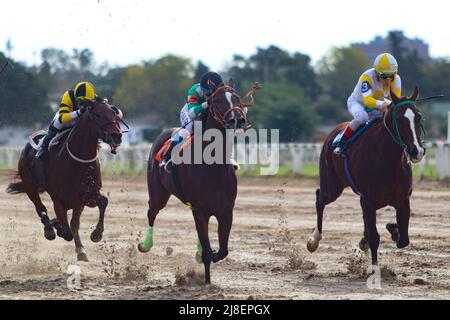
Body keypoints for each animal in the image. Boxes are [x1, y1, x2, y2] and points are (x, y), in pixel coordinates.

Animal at [7, 100, 123, 262]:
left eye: (114, 114)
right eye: (98, 114)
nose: (117, 136)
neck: (78, 160)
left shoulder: (86, 196)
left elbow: (102, 202)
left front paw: (96, 234)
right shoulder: (59, 199)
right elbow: (66, 230)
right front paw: (57, 227)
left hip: (75, 201)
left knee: (73, 223)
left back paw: (80, 250)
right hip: (29, 184)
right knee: (40, 208)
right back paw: (50, 229)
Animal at [138, 81, 260, 284]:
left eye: (236, 98)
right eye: (218, 100)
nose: (237, 119)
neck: (212, 167)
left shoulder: (226, 211)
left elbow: (222, 250)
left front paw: (208, 255)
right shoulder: (199, 210)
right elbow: (208, 254)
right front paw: (207, 281)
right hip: (158, 194)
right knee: (151, 212)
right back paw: (146, 244)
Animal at [306, 87, 426, 268]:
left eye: (418, 116)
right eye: (399, 119)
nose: (417, 151)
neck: (388, 161)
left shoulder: (403, 199)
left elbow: (403, 240)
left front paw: (392, 229)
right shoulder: (368, 199)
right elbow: (375, 237)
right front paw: (374, 268)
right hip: (332, 187)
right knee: (320, 198)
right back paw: (314, 241)